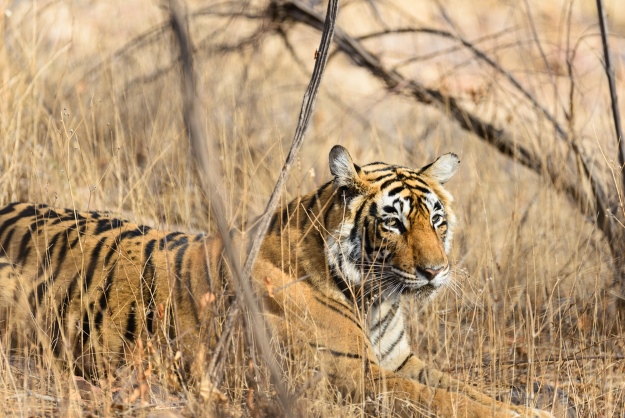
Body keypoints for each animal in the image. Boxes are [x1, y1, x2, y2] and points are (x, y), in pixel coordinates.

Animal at [0, 145, 556, 416]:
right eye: (394, 222)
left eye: (436, 220)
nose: (435, 271)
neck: (377, 298)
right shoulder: (351, 374)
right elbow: (447, 401)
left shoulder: (400, 361)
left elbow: (468, 391)